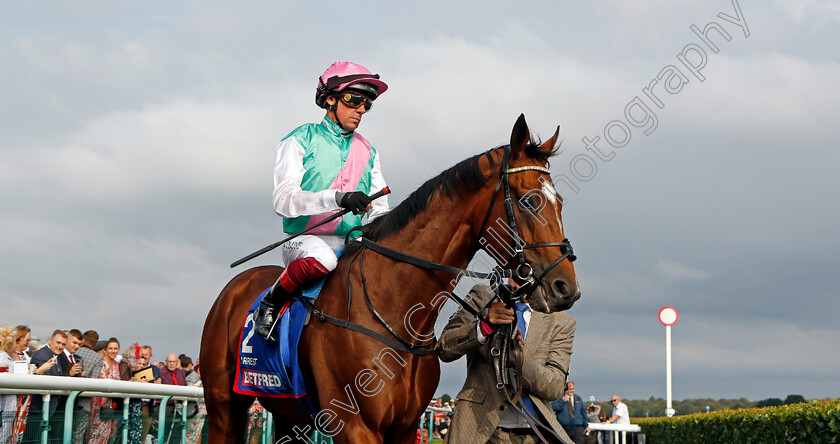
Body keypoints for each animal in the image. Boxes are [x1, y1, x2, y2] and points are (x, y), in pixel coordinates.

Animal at [203, 115, 580, 444]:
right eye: (530, 201)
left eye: (561, 202)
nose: (566, 289)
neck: (394, 314)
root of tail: (233, 289)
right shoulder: (355, 426)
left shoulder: (405, 427)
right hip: (223, 405)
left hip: (289, 413)